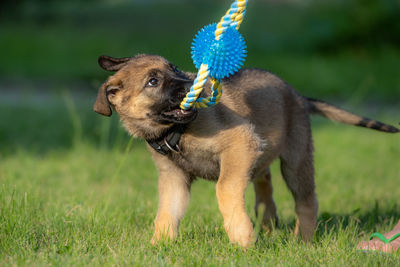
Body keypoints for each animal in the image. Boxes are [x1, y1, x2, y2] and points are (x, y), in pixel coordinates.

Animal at [93, 54, 396, 249]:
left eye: (174, 67)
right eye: (153, 82)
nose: (196, 86)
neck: (176, 132)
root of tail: (297, 95)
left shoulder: (240, 144)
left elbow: (225, 188)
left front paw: (241, 235)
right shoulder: (173, 178)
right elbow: (167, 212)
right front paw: (159, 245)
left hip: (295, 160)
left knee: (306, 200)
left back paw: (303, 240)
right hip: (264, 151)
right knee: (265, 181)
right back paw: (267, 220)